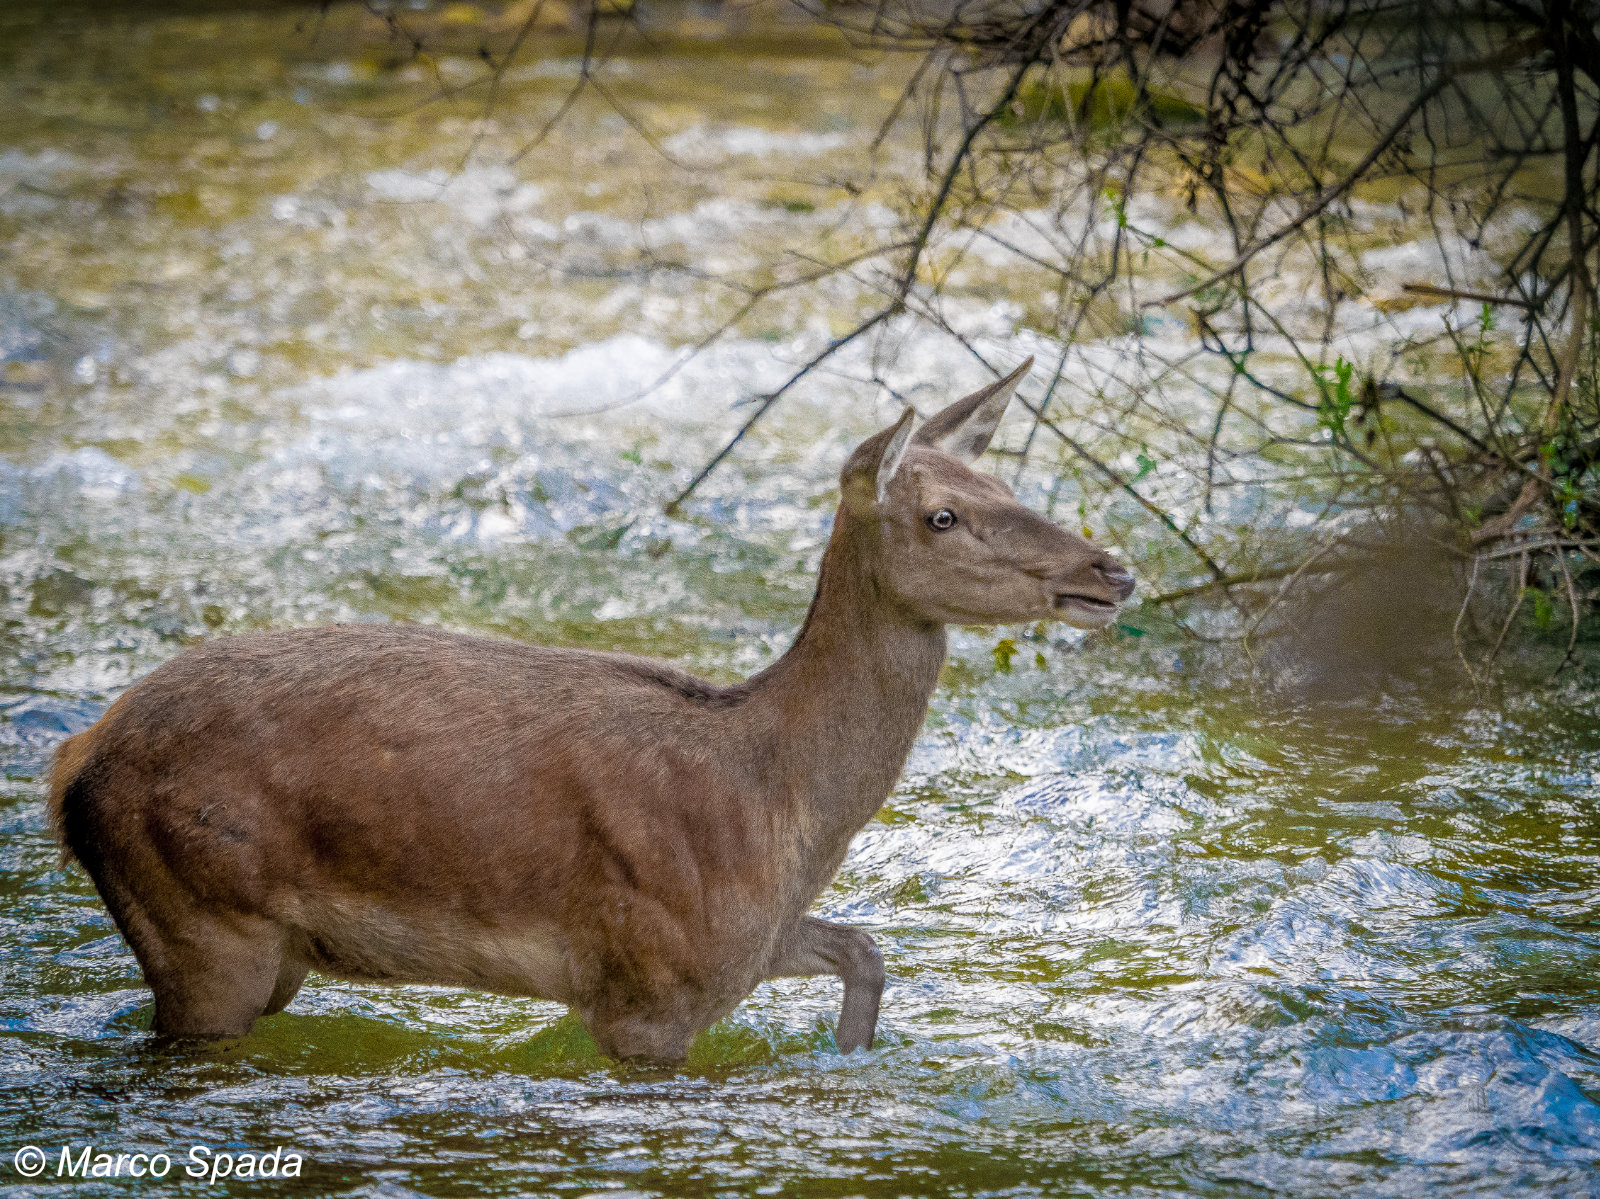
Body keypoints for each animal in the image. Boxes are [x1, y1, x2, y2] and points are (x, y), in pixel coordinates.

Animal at [47, 357, 1135, 1064]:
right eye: (942, 514)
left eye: (1003, 477)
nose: (1109, 569)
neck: (779, 800)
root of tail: (71, 766)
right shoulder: (648, 979)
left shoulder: (743, 944)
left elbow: (865, 948)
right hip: (202, 919)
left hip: (256, 947)